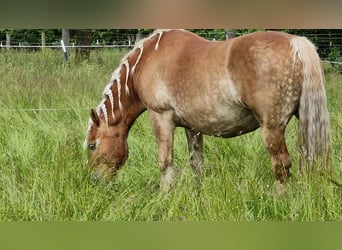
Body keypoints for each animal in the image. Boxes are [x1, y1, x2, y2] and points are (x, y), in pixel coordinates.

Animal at [83, 28, 328, 191]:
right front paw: (198, 193)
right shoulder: (193, 127)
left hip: (272, 128)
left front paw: (165, 195)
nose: (94, 180)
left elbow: (165, 161)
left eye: (93, 145)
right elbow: (196, 163)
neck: (146, 60)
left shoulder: (160, 117)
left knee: (281, 165)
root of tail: (296, 43)